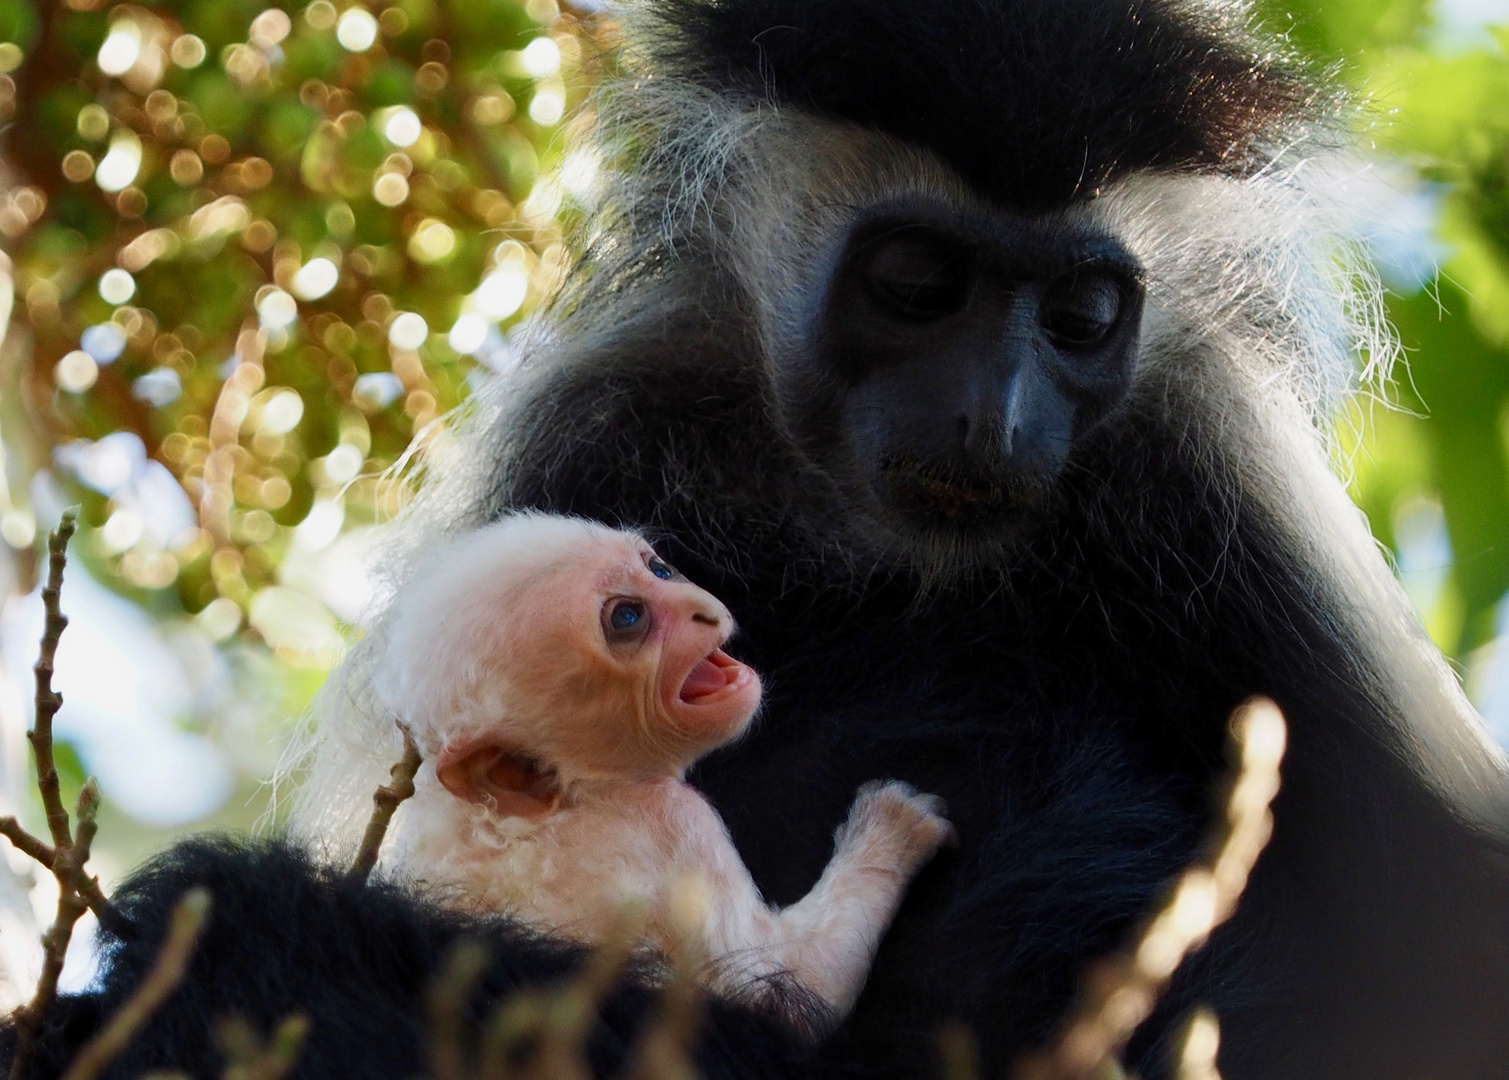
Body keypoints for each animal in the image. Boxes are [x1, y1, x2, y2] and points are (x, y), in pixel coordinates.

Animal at [374, 512, 953, 1019]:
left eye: (660, 570)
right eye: (628, 618)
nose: (703, 610)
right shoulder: (675, 822)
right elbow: (789, 989)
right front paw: (892, 832)